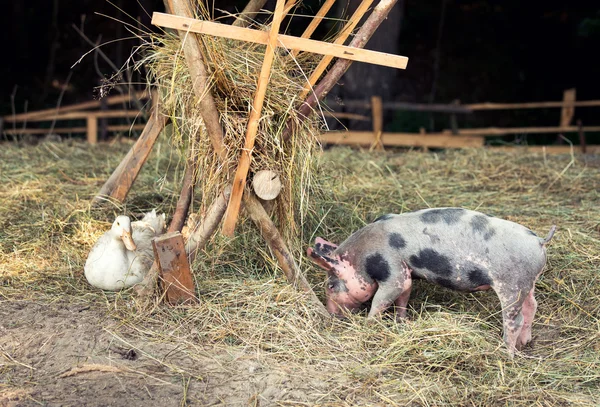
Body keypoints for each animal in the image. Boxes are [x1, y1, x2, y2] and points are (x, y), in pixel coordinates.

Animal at [310, 209, 556, 356]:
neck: (363, 256)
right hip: (527, 283)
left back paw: (506, 354)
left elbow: (381, 300)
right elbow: (404, 296)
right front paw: (402, 321)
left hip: (511, 284)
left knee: (514, 320)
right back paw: (526, 343)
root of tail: (539, 241)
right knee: (532, 306)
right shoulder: (406, 273)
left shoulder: (393, 271)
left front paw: (369, 325)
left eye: (330, 286)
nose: (331, 314)